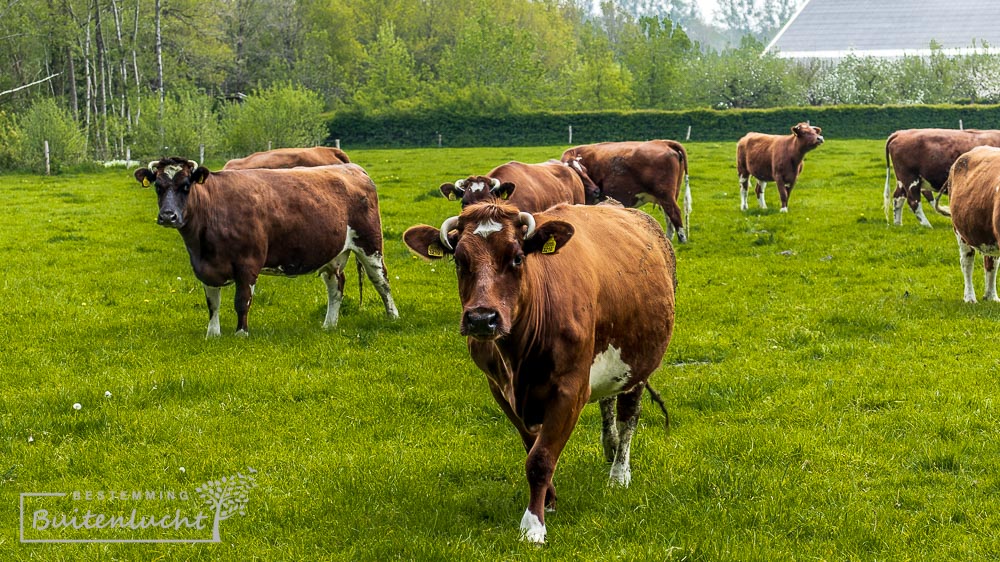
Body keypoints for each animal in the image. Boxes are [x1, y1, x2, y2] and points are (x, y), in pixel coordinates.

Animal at [134, 155, 398, 334]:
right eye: (158, 187)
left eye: (186, 186)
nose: (168, 216)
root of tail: (352, 168)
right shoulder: (204, 267)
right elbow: (212, 303)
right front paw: (213, 333)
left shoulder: (248, 263)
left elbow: (242, 301)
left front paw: (241, 333)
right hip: (333, 253)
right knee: (336, 286)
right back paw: (329, 325)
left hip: (370, 243)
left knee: (381, 281)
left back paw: (392, 316)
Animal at [402, 199, 676, 540]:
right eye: (459, 261)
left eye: (517, 257)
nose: (481, 318)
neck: (519, 355)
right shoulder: (499, 389)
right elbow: (531, 446)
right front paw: (549, 501)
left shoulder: (571, 390)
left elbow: (541, 459)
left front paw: (533, 525)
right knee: (608, 404)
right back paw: (609, 449)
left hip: (638, 364)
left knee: (628, 417)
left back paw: (618, 473)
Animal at [560, 139, 692, 241]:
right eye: (580, 172)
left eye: (585, 171)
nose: (596, 190)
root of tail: (664, 142)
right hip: (669, 196)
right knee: (669, 216)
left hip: (665, 195)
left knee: (675, 213)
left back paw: (682, 239)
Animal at [932, 144, 1000, 302]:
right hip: (960, 232)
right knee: (967, 263)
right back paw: (970, 297)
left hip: (988, 235)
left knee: (991, 264)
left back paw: (991, 296)